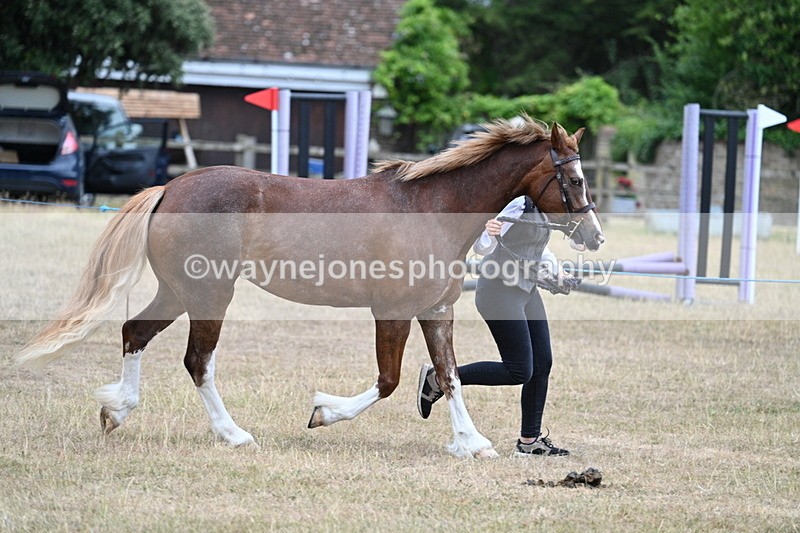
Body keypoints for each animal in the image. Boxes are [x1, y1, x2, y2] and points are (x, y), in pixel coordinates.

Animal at [15, 117, 603, 458]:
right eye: (574, 179)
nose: (594, 236)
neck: (432, 208)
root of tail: (171, 187)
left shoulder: (436, 310)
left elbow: (450, 375)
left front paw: (472, 443)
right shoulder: (391, 311)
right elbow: (389, 381)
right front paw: (323, 413)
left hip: (178, 292)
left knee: (135, 332)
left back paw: (116, 411)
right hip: (209, 296)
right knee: (197, 361)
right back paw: (233, 434)